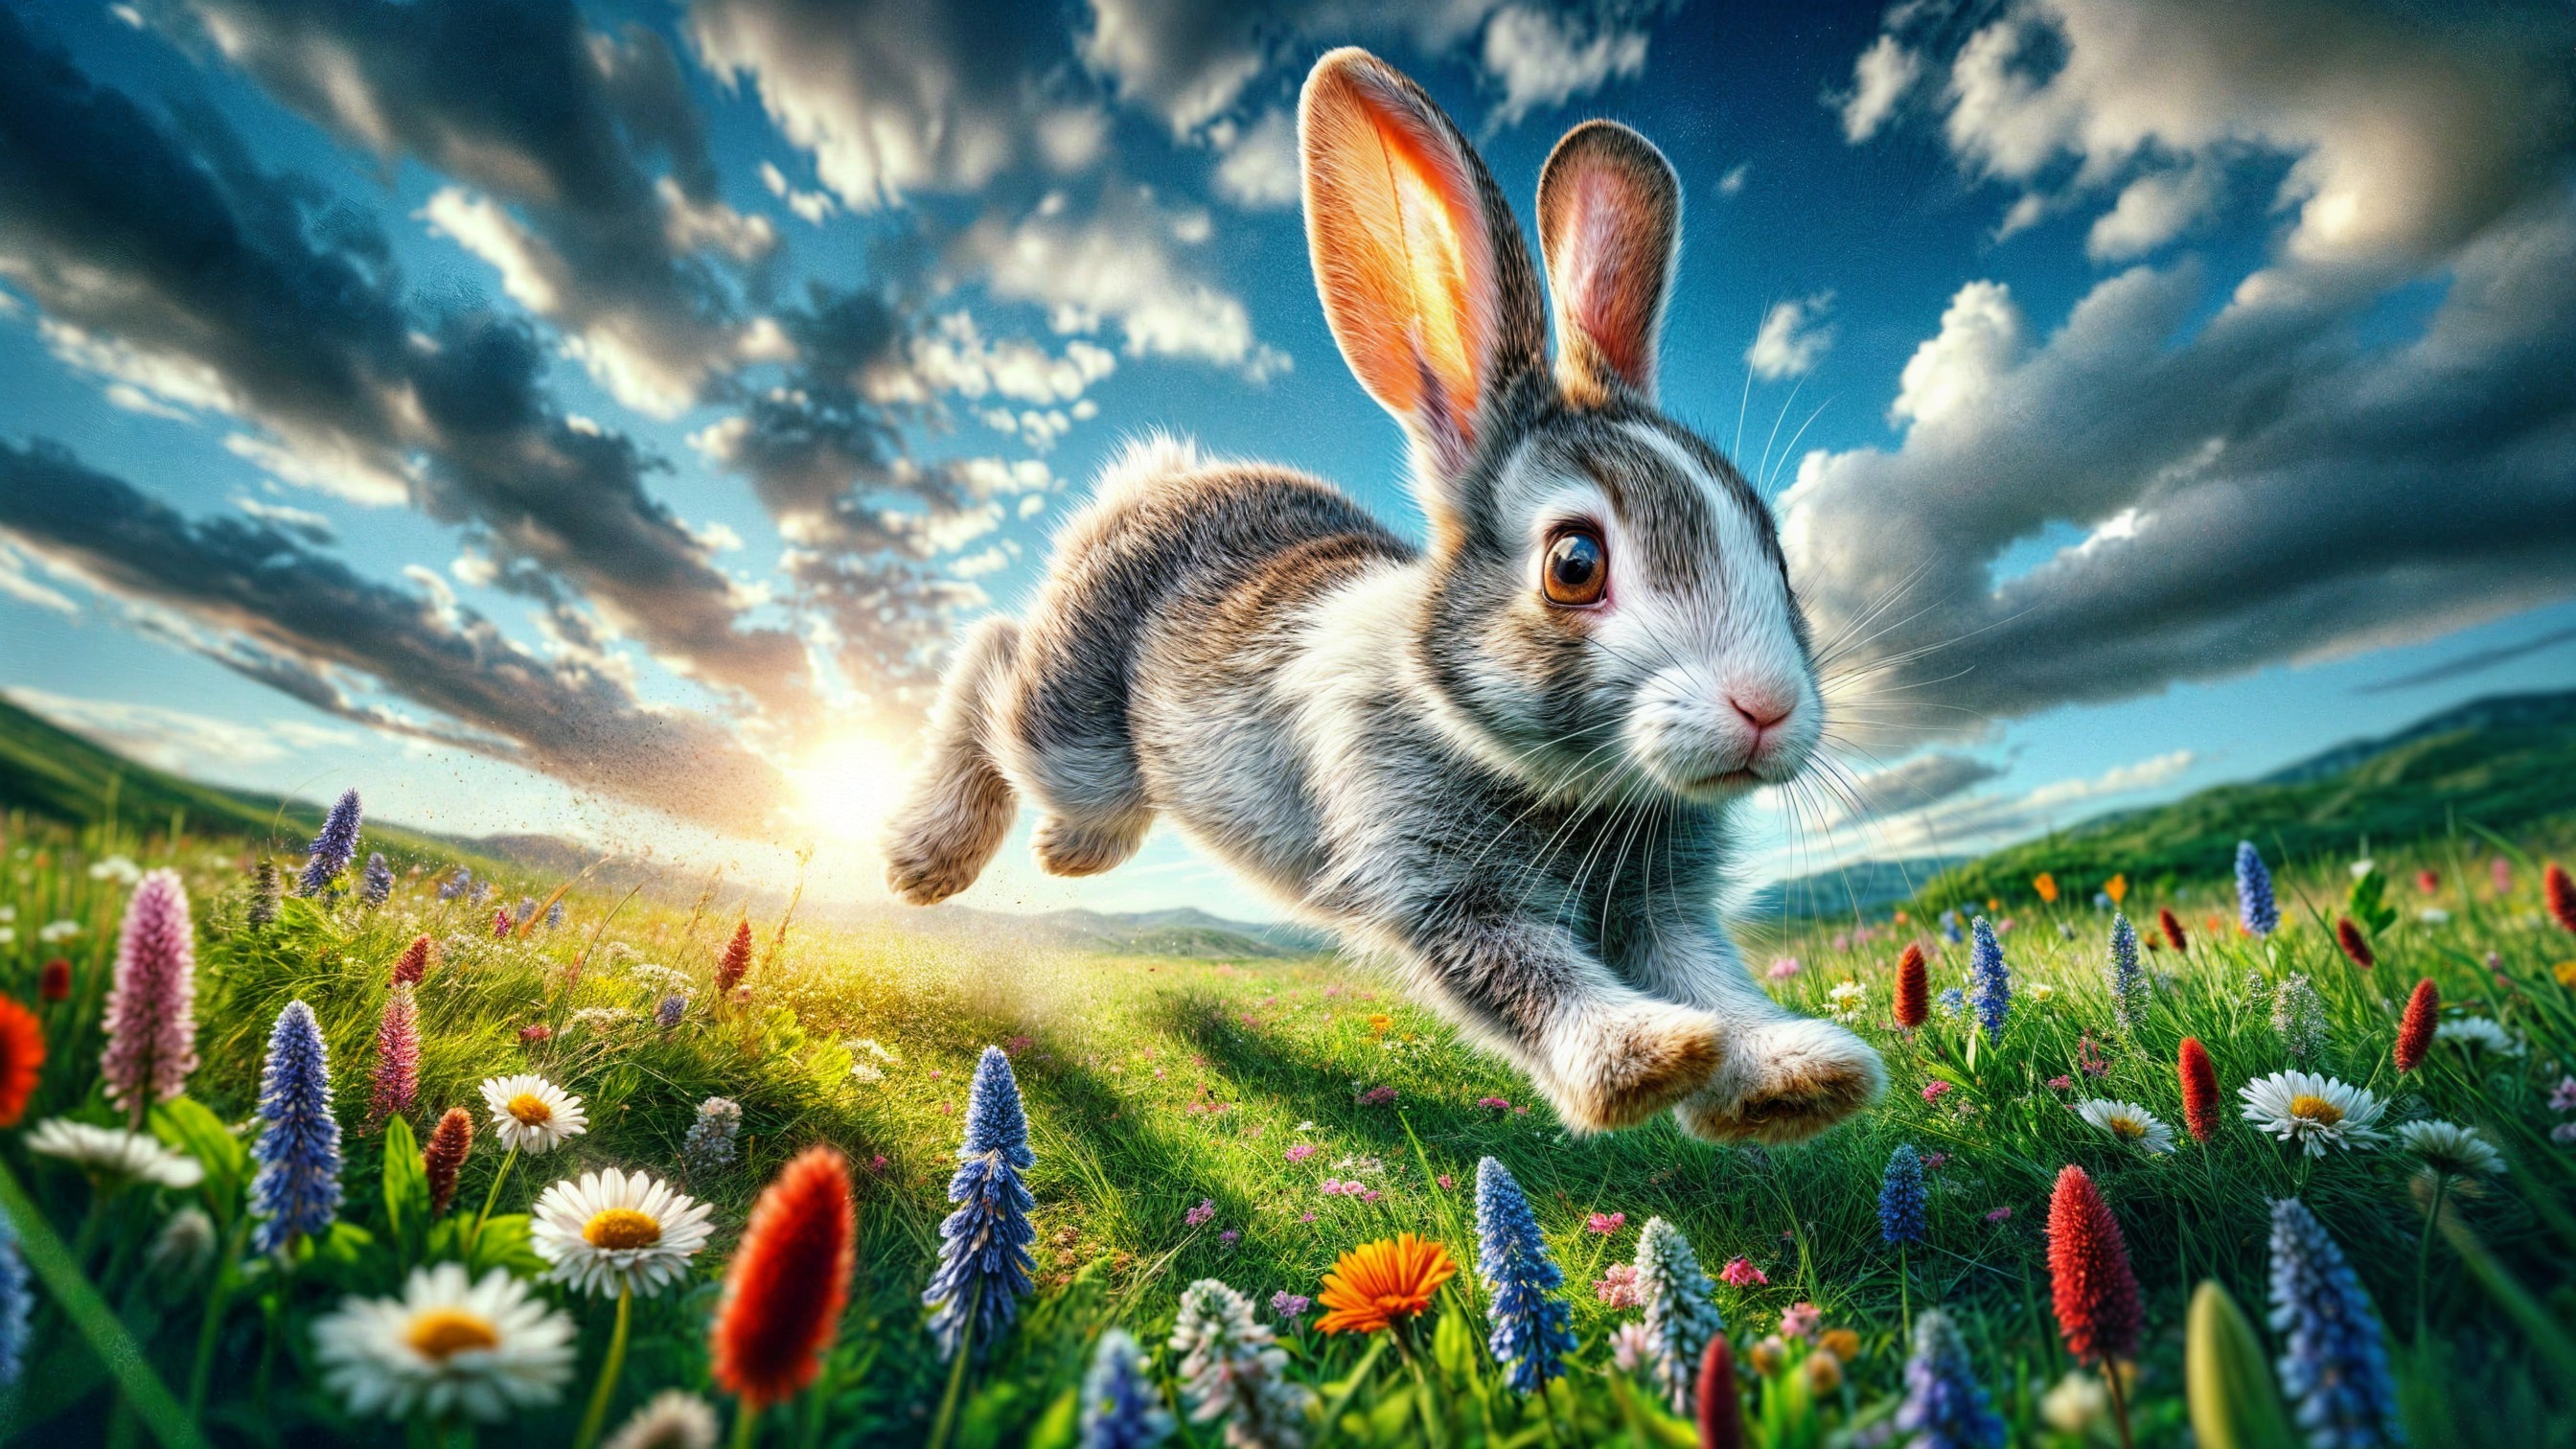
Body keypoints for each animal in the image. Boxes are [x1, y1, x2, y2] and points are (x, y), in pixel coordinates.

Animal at [883, 47, 1884, 1142]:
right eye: (1575, 563)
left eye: (1770, 538)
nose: (1768, 710)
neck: (1564, 782)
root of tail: (1156, 489)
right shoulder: (1440, 886)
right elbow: (1531, 978)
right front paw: (1647, 1062)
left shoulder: (1659, 907)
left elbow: (1711, 977)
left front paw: (1797, 1081)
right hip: (1079, 735)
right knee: (994, 658)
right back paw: (926, 857)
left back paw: (1064, 851)